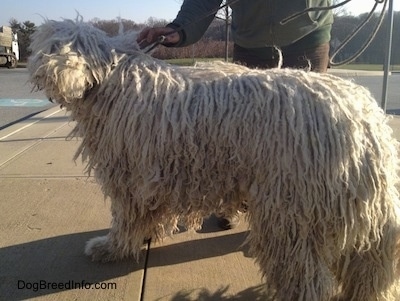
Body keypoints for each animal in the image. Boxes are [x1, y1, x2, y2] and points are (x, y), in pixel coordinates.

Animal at [28, 18, 400, 300]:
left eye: (49, 46)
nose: (39, 72)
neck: (112, 79)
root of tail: (366, 120)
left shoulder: (132, 177)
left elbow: (127, 219)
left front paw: (110, 247)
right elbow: (149, 214)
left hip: (290, 207)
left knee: (306, 277)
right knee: (368, 267)